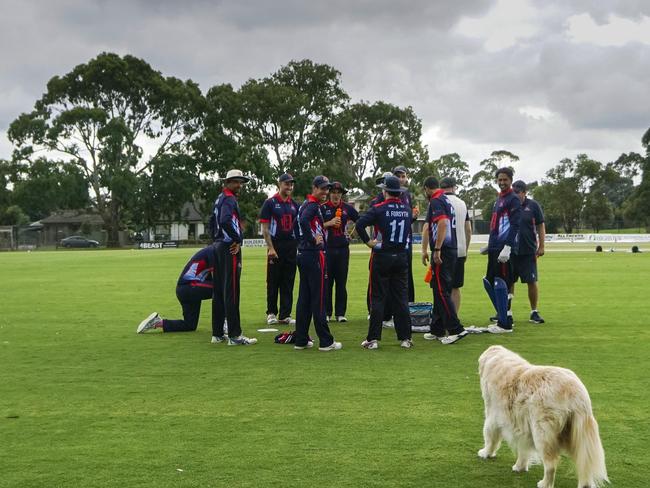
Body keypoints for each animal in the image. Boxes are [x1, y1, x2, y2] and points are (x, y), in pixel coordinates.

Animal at [476, 346, 608, 486]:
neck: (498, 360)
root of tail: (575, 393)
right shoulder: (521, 425)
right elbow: (523, 447)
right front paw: (519, 467)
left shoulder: (493, 413)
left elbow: (489, 434)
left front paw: (485, 453)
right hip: (581, 434)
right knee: (584, 463)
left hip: (542, 431)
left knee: (551, 464)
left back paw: (544, 483)